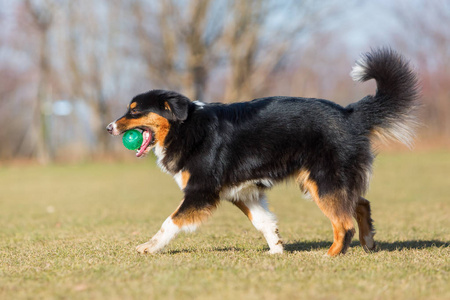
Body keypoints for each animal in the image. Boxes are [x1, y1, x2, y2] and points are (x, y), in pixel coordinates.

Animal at [108, 48, 418, 255]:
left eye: (134, 111)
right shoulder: (243, 192)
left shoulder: (200, 192)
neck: (185, 127)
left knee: (344, 222)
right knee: (361, 203)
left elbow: (169, 222)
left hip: (324, 180)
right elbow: (264, 222)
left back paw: (330, 255)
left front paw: (148, 247)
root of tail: (349, 113)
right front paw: (277, 250)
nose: (109, 127)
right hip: (323, 181)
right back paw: (368, 243)